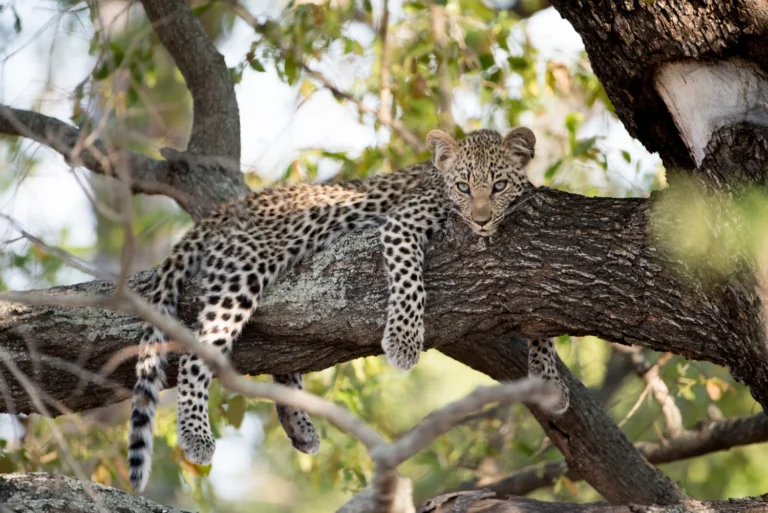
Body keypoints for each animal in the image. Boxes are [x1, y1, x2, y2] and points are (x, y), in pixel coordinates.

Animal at [127, 127, 570, 493]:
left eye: (498, 185)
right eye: (463, 186)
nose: (480, 220)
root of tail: (230, 207)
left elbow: (541, 316)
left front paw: (549, 378)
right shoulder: (401, 224)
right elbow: (409, 282)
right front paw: (403, 341)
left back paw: (301, 427)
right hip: (246, 268)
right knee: (196, 354)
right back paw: (196, 435)